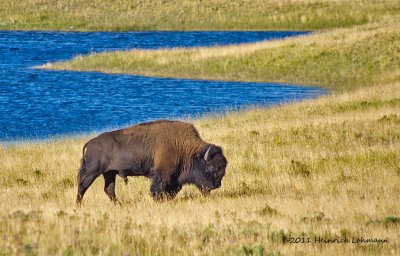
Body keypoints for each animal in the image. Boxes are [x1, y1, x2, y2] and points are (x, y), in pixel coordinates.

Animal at [75, 120, 225, 204]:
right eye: (211, 168)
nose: (217, 185)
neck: (184, 147)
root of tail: (89, 143)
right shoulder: (162, 175)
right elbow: (157, 189)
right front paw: (158, 201)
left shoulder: (174, 178)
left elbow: (173, 190)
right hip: (92, 172)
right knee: (82, 187)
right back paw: (79, 205)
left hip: (109, 173)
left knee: (109, 190)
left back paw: (120, 204)